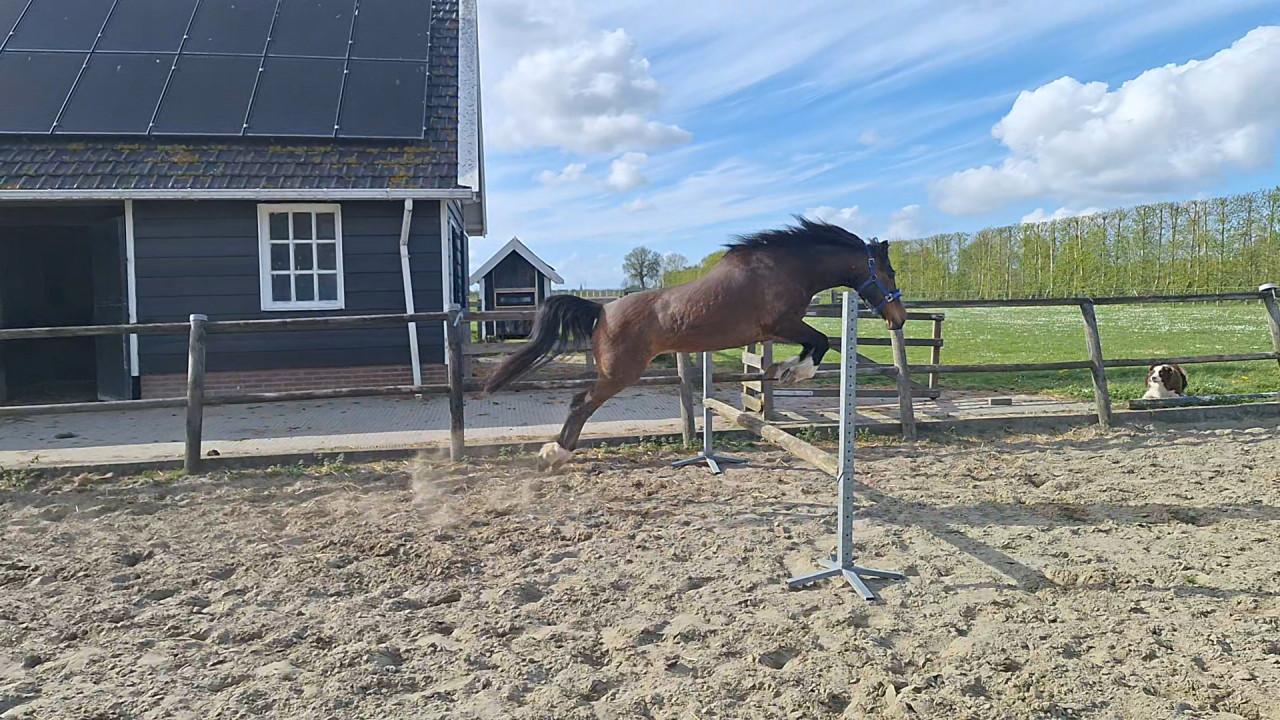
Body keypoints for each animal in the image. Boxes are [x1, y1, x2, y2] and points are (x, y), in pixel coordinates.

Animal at [484, 218, 908, 468]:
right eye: (889, 271)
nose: (899, 319)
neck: (786, 267)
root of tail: (601, 311)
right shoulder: (781, 324)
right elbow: (821, 340)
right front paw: (792, 372)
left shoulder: (776, 331)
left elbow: (817, 342)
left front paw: (783, 369)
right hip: (620, 373)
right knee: (580, 403)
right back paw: (555, 453)